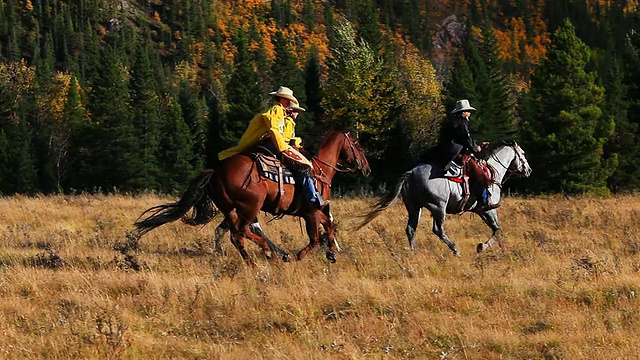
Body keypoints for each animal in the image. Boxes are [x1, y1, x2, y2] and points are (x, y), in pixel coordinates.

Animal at [134, 131, 370, 266]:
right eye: (357, 145)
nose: (366, 167)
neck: (319, 171)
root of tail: (217, 171)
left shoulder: (314, 211)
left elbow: (329, 224)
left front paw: (332, 251)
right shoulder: (311, 211)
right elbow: (315, 237)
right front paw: (301, 255)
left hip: (230, 209)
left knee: (235, 235)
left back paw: (253, 260)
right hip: (251, 206)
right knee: (242, 231)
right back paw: (268, 252)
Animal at [358, 142, 532, 255]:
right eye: (523, 154)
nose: (529, 170)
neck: (493, 172)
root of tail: (411, 173)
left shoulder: (481, 211)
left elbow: (497, 230)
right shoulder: (489, 210)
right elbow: (497, 230)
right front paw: (483, 247)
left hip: (414, 207)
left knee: (411, 229)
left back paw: (414, 254)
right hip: (438, 207)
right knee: (438, 229)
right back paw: (455, 249)